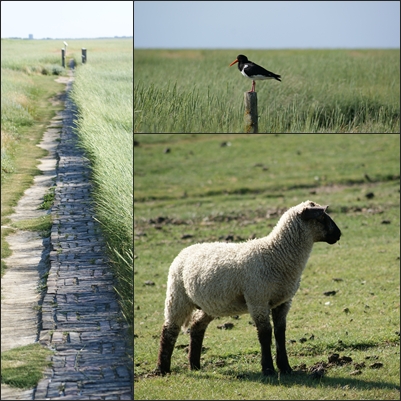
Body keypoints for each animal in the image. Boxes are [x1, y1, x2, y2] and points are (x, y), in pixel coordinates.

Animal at [156, 200, 340, 376]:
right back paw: (162, 369)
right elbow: (265, 333)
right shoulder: (257, 299)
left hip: (210, 304)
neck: (277, 253)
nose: (339, 234)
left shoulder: (283, 301)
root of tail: (187, 249)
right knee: (169, 330)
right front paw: (268, 369)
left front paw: (285, 368)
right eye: (321, 217)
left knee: (196, 327)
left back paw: (194, 365)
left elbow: (280, 332)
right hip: (177, 295)